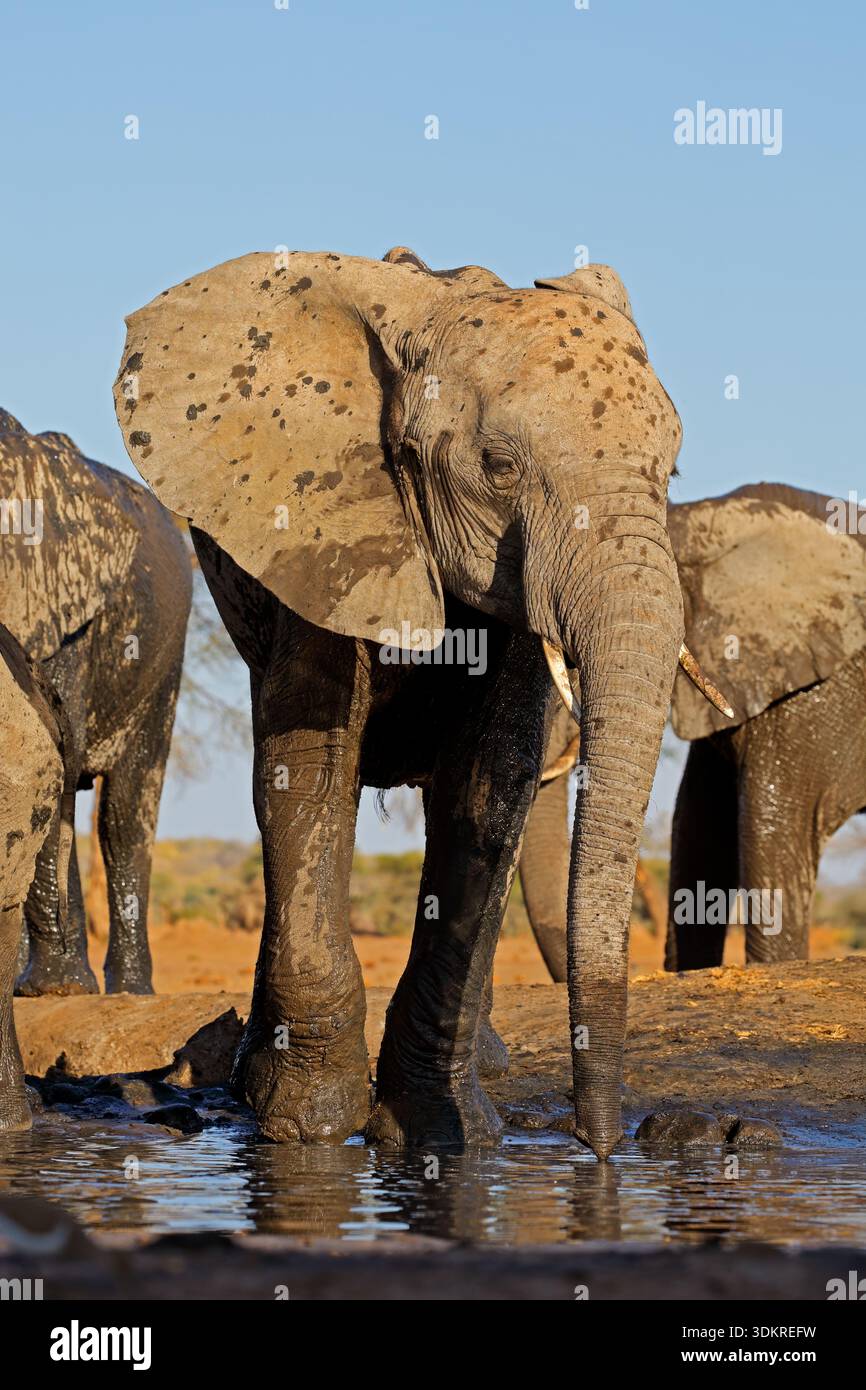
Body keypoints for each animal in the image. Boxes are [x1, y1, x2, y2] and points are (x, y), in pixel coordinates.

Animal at [0, 409, 192, 995]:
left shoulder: (63, 608)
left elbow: (49, 762)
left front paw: (56, 990)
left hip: (164, 660)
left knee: (125, 815)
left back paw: (130, 993)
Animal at [113, 244, 724, 1159]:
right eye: (500, 468)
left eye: (671, 472)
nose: (600, 1148)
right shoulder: (320, 532)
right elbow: (311, 764)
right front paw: (309, 1129)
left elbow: (490, 785)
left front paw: (443, 1134)